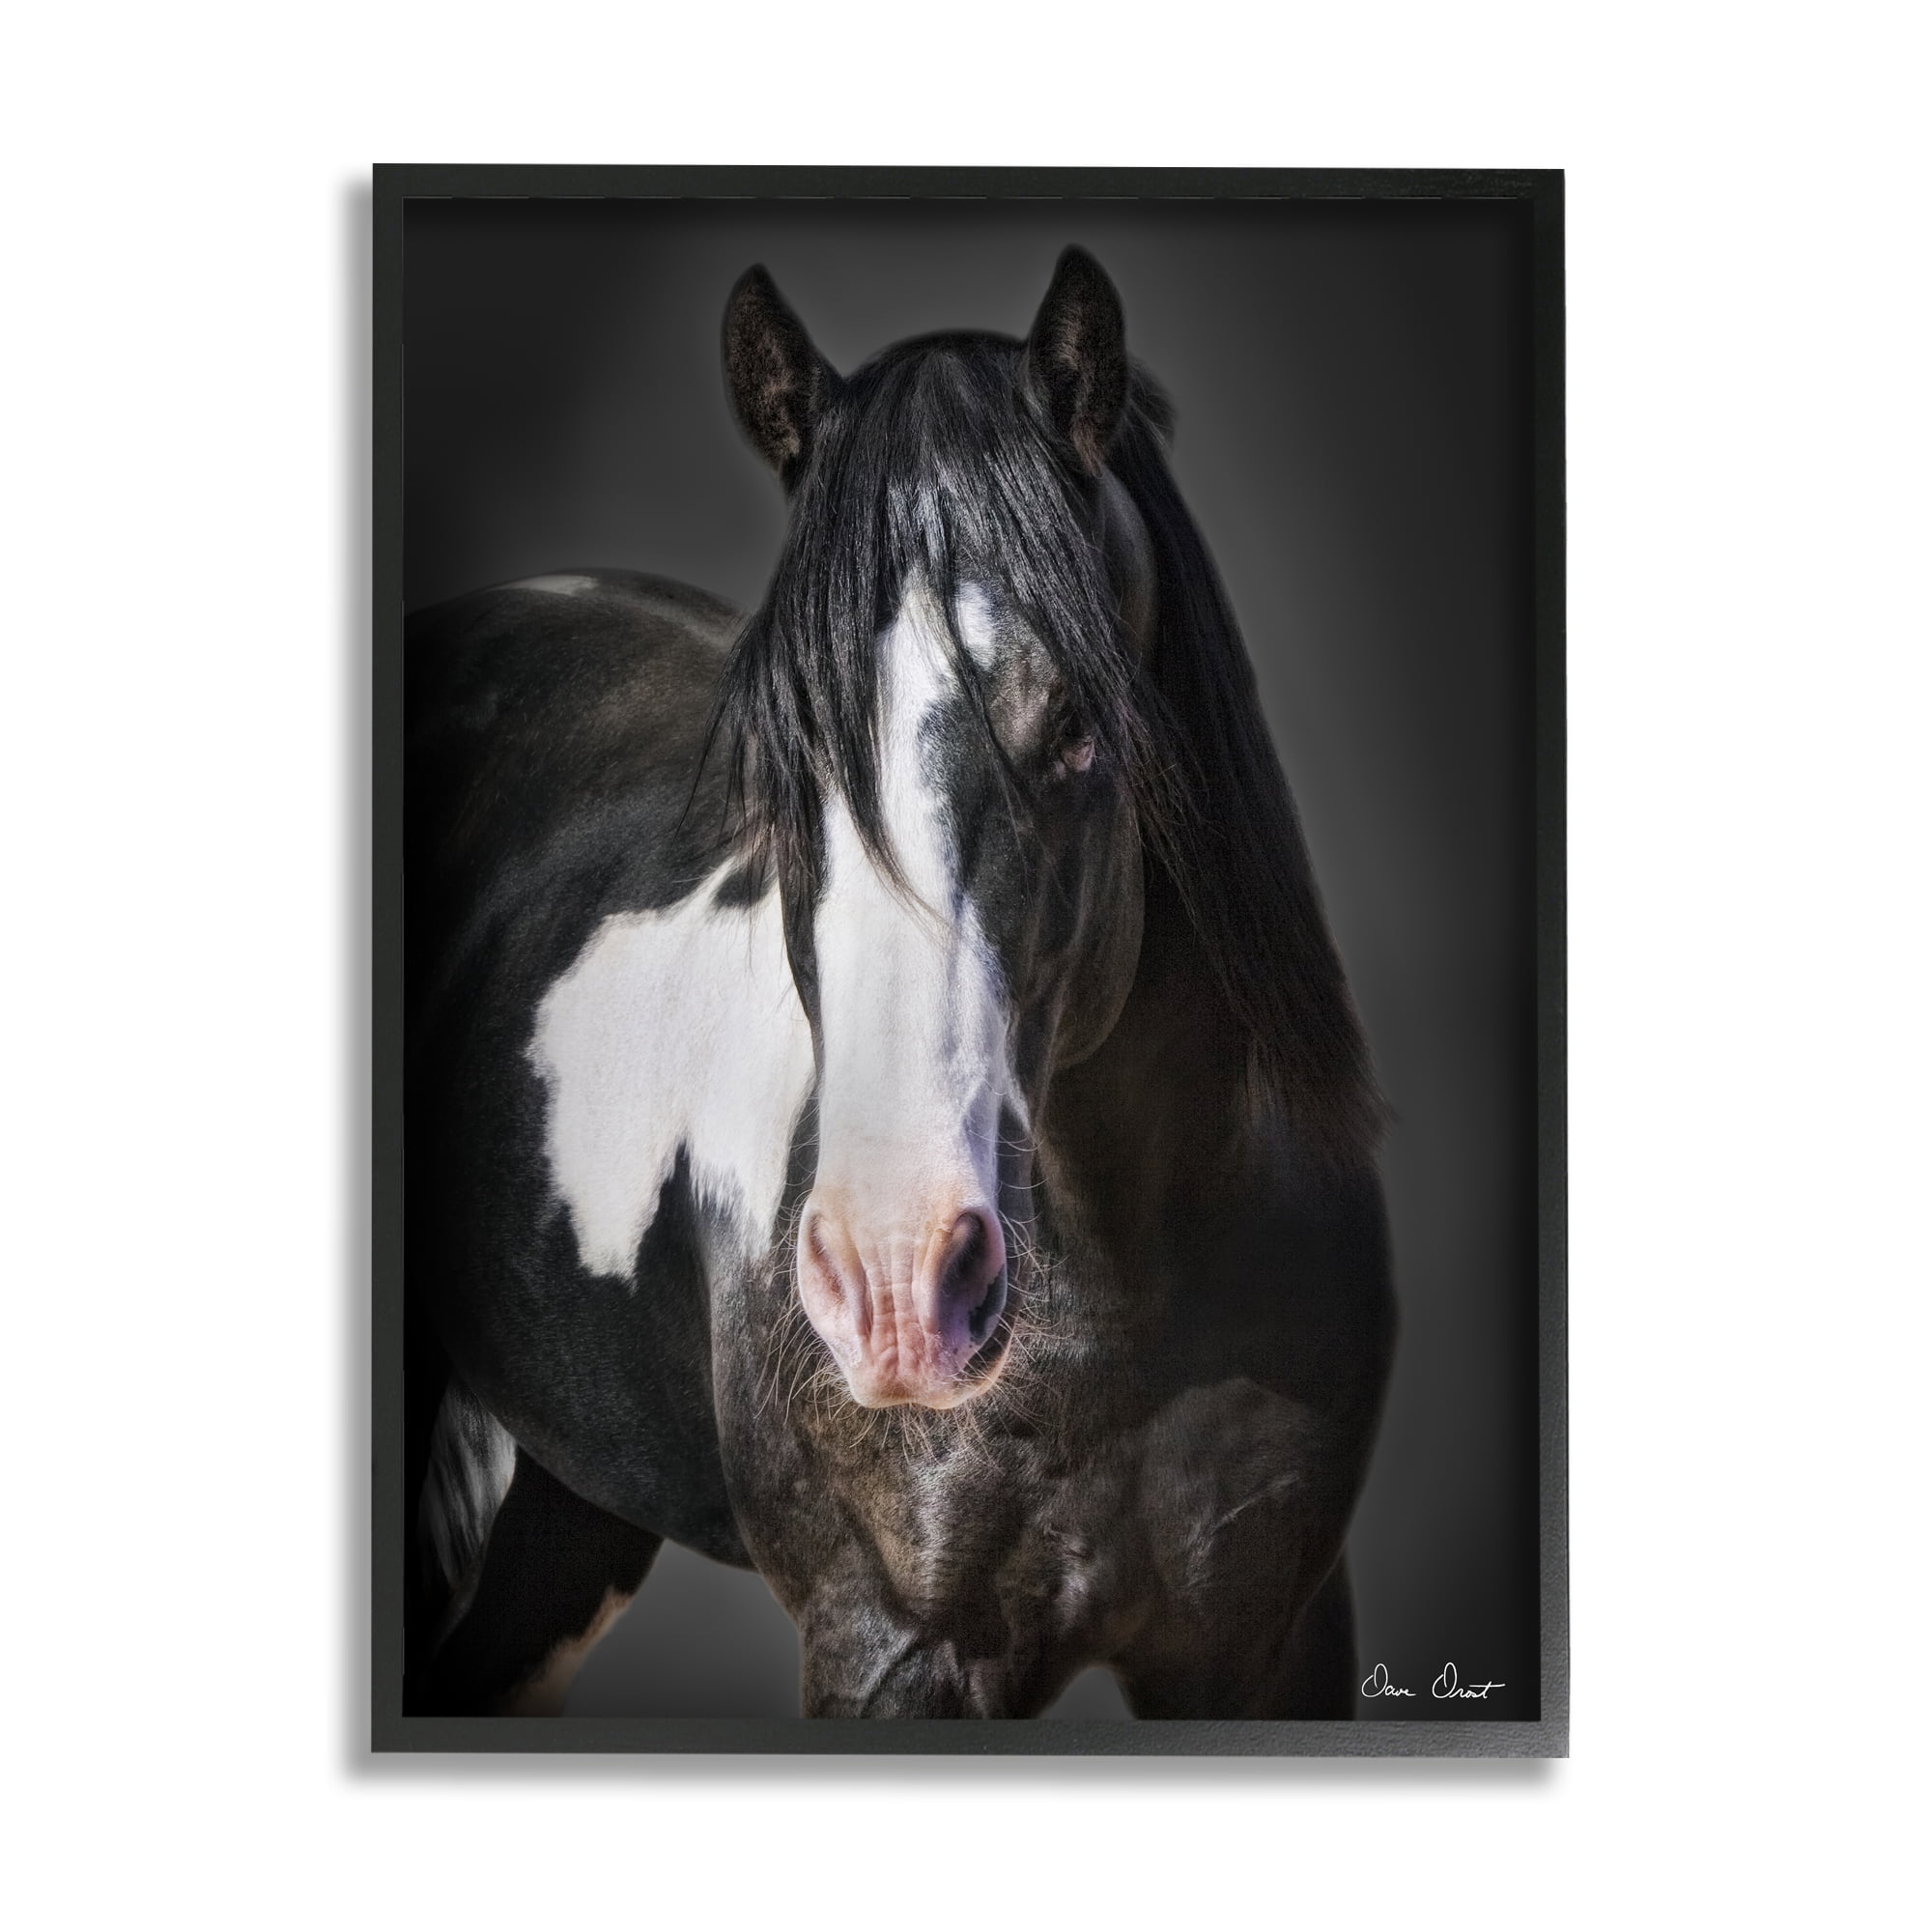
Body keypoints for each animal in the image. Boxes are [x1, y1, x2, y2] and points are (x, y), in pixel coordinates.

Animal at [402, 246, 1396, 1719]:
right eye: (778, 747)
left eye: (1077, 726)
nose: (894, 1283)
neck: (1131, 1288)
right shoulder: (890, 1653)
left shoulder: (1268, 1645)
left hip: (570, 1504)